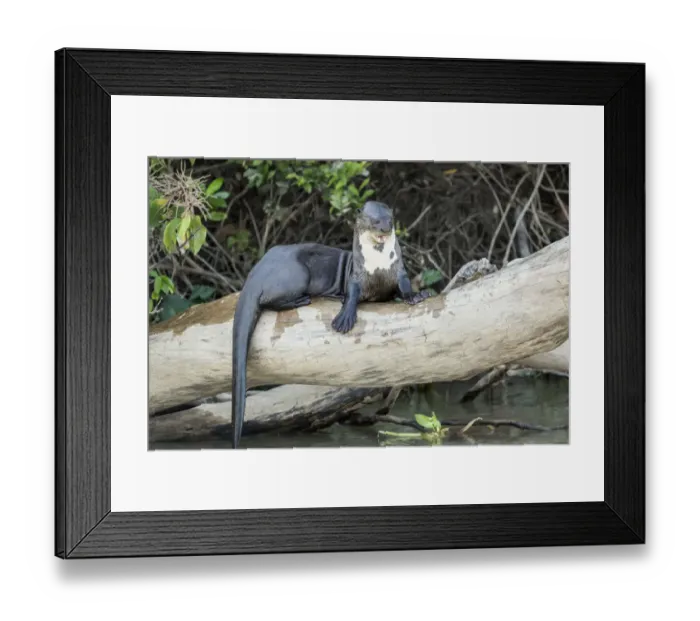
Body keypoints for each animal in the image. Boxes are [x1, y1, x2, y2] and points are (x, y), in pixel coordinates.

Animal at [231, 201, 431, 448]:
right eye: (374, 221)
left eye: (390, 220)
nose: (384, 229)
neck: (378, 265)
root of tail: (258, 269)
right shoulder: (356, 275)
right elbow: (352, 294)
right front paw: (344, 318)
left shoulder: (398, 271)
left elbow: (404, 286)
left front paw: (417, 295)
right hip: (297, 274)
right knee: (268, 300)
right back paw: (302, 300)